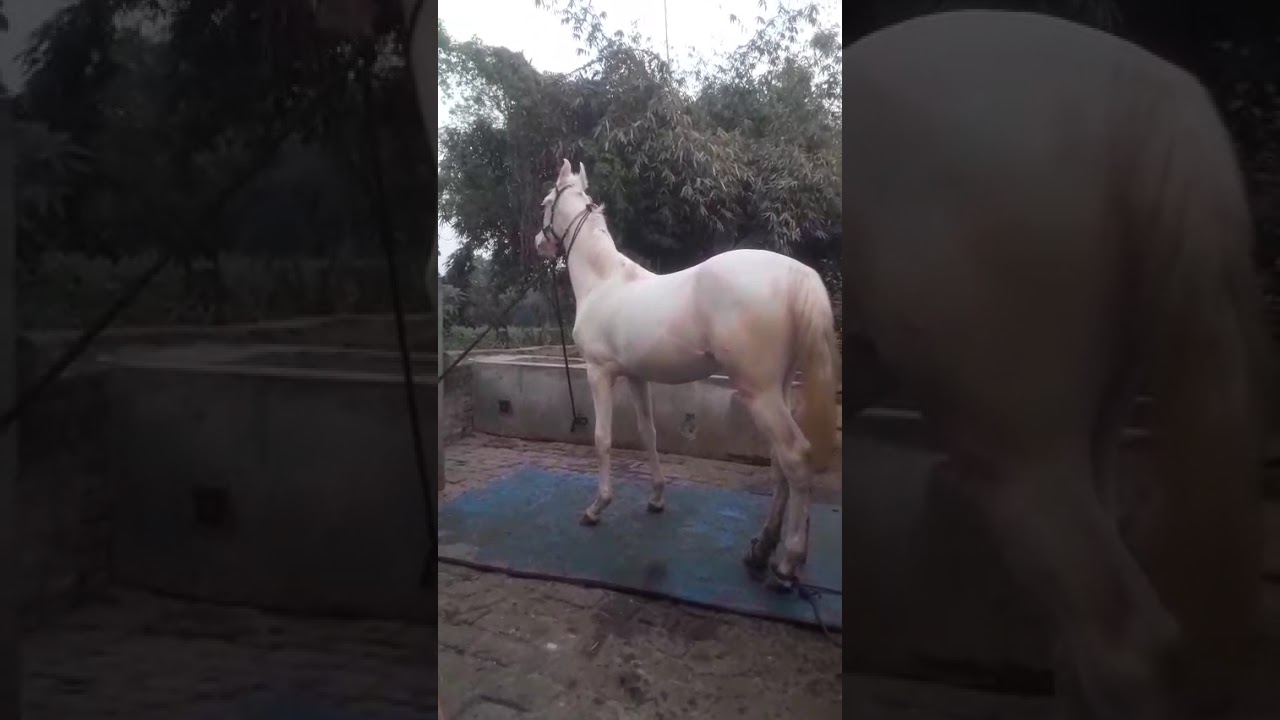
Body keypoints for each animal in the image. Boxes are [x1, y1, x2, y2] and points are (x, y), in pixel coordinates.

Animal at [533, 158, 840, 588]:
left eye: (546, 203)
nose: (537, 243)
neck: (604, 282)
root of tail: (801, 276)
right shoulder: (636, 376)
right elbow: (648, 434)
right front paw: (657, 497)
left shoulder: (599, 373)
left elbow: (602, 439)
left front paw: (597, 507)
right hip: (776, 389)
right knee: (781, 462)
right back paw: (761, 549)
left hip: (758, 391)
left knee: (795, 456)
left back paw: (787, 562)